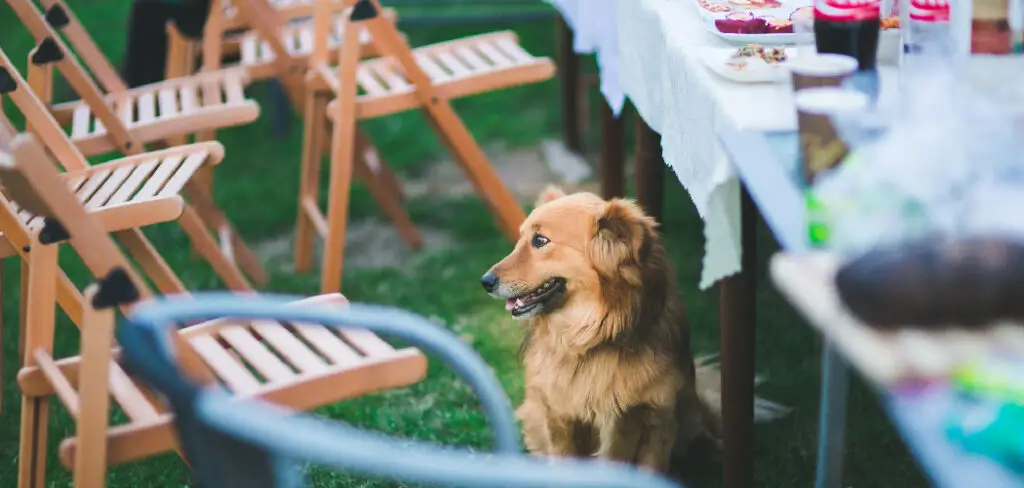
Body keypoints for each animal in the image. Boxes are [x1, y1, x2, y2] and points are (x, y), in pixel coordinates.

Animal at [479, 187, 782, 474]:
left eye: (540, 241)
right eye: (521, 239)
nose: (485, 281)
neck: (593, 336)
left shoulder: (654, 416)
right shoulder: (559, 416)